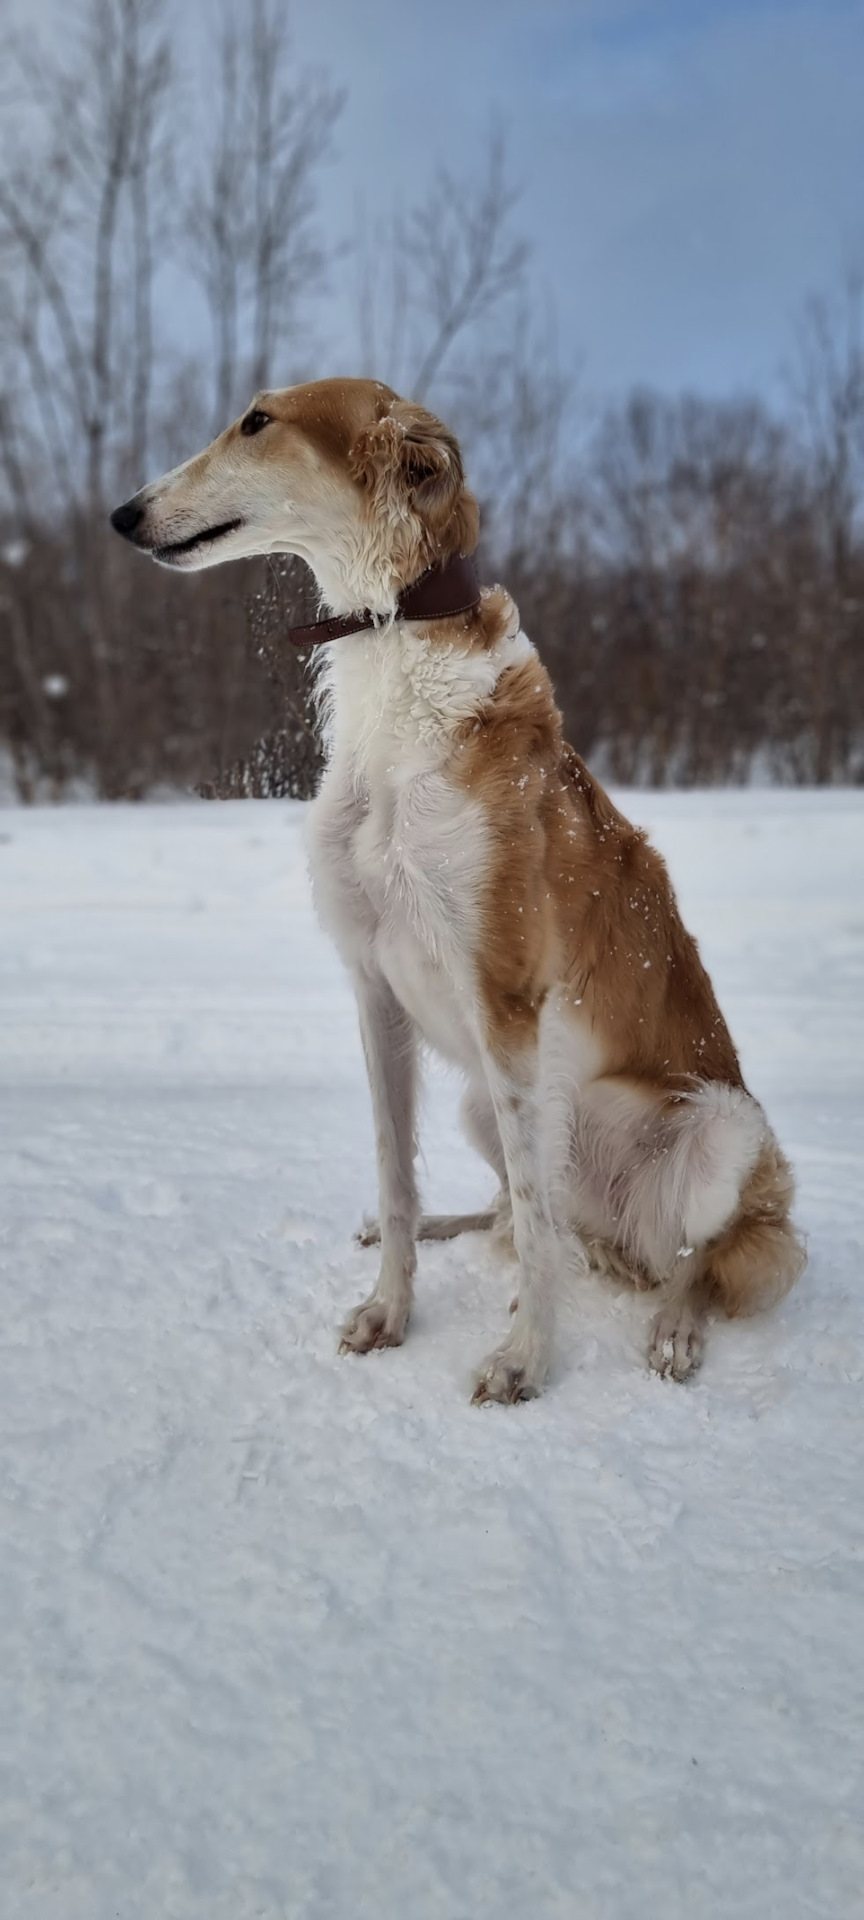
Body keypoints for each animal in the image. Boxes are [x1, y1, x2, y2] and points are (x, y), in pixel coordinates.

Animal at [111, 378, 806, 1397]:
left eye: (258, 421)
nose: (123, 515)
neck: (396, 671)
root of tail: (623, 1232)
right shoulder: (373, 987)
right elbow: (399, 1176)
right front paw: (389, 1310)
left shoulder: (506, 996)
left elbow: (540, 1235)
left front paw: (527, 1360)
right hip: (490, 1102)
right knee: (518, 1211)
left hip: (719, 1128)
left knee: (690, 1257)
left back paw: (674, 1326)